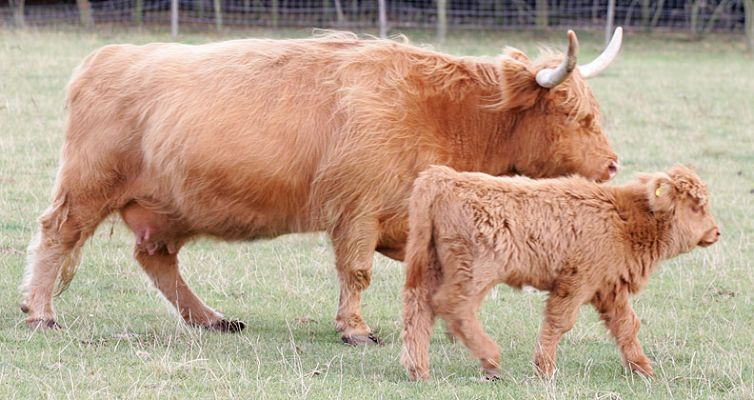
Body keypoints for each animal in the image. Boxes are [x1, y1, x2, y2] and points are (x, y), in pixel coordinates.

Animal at [21, 29, 624, 345]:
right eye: (575, 115)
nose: (614, 164)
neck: (445, 114)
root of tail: (109, 54)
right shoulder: (356, 209)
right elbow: (355, 272)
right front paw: (355, 329)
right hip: (87, 187)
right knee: (56, 236)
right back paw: (40, 312)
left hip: (167, 209)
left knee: (157, 258)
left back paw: (210, 319)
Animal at [400, 164, 720, 380]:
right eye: (695, 206)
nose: (716, 232)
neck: (624, 218)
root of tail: (444, 177)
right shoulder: (575, 283)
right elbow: (559, 322)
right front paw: (544, 369)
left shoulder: (609, 288)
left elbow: (626, 326)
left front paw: (643, 369)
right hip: (474, 272)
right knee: (452, 306)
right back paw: (490, 358)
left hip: (430, 266)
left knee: (419, 308)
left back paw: (419, 370)